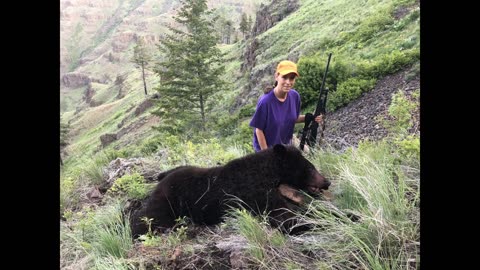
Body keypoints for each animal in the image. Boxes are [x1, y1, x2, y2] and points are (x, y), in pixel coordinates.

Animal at [128, 144, 330, 237]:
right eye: (309, 168)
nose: (326, 182)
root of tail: (162, 178)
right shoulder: (256, 195)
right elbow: (285, 217)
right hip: (170, 199)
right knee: (150, 218)